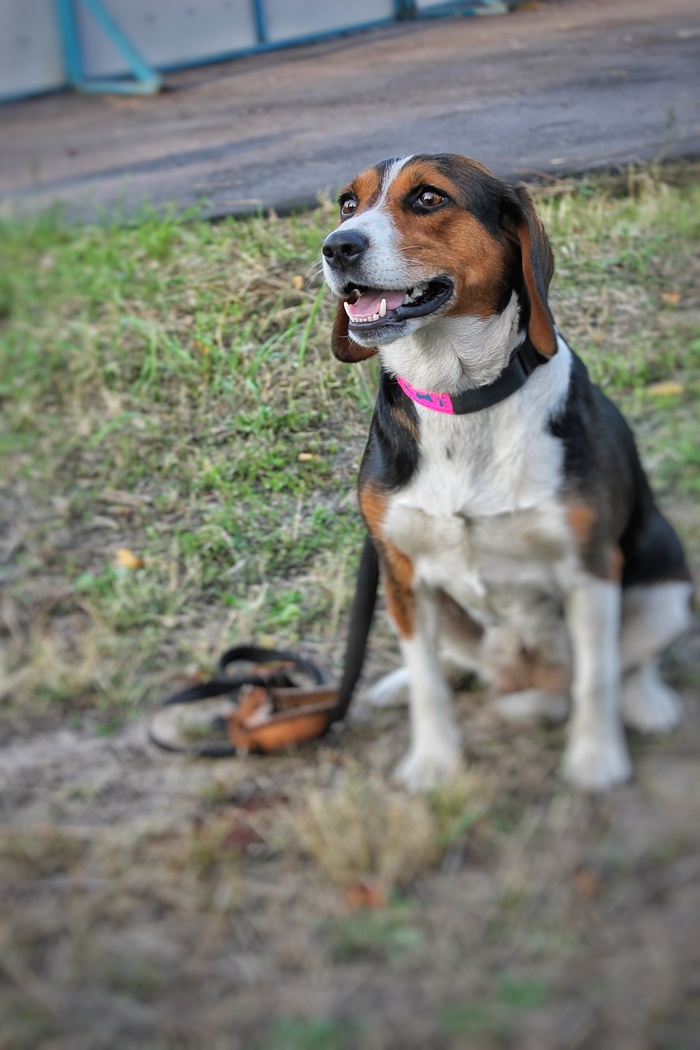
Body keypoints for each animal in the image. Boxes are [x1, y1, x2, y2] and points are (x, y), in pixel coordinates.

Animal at [323, 153, 696, 789]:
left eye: (428, 198)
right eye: (348, 203)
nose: (335, 246)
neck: (460, 398)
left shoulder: (591, 568)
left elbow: (597, 677)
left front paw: (595, 759)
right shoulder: (401, 571)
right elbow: (428, 684)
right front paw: (434, 761)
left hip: (666, 584)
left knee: (630, 662)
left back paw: (646, 702)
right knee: (445, 663)